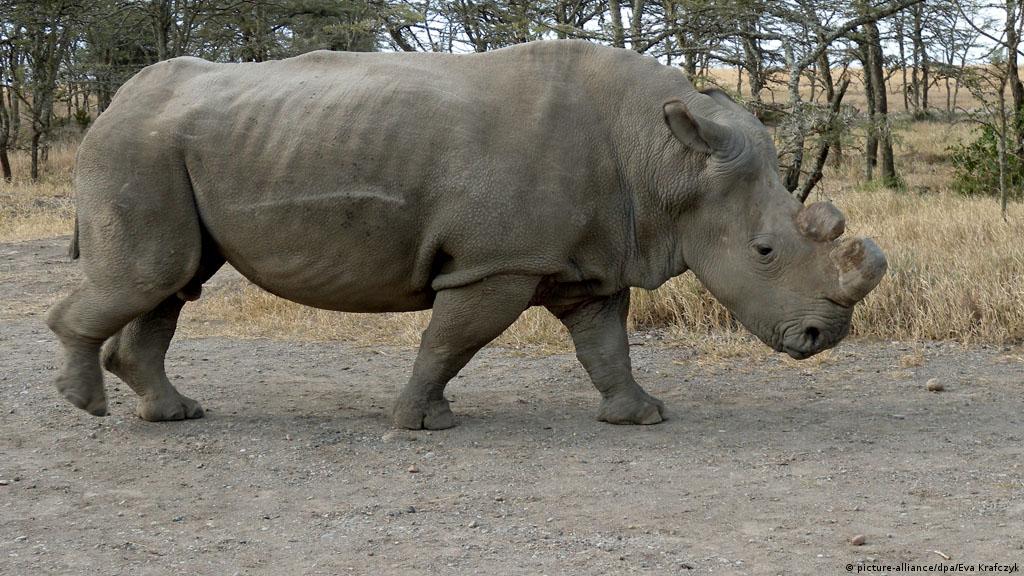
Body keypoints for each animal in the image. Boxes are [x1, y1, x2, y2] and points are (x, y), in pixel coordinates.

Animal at [47, 40, 886, 429]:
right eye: (765, 252)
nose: (823, 338)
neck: (667, 162)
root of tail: (114, 103)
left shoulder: (585, 260)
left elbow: (604, 343)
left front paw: (642, 416)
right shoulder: (497, 262)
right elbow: (452, 339)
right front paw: (421, 423)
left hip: (168, 146)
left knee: (173, 280)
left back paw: (174, 415)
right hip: (137, 149)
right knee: (153, 275)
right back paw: (86, 406)